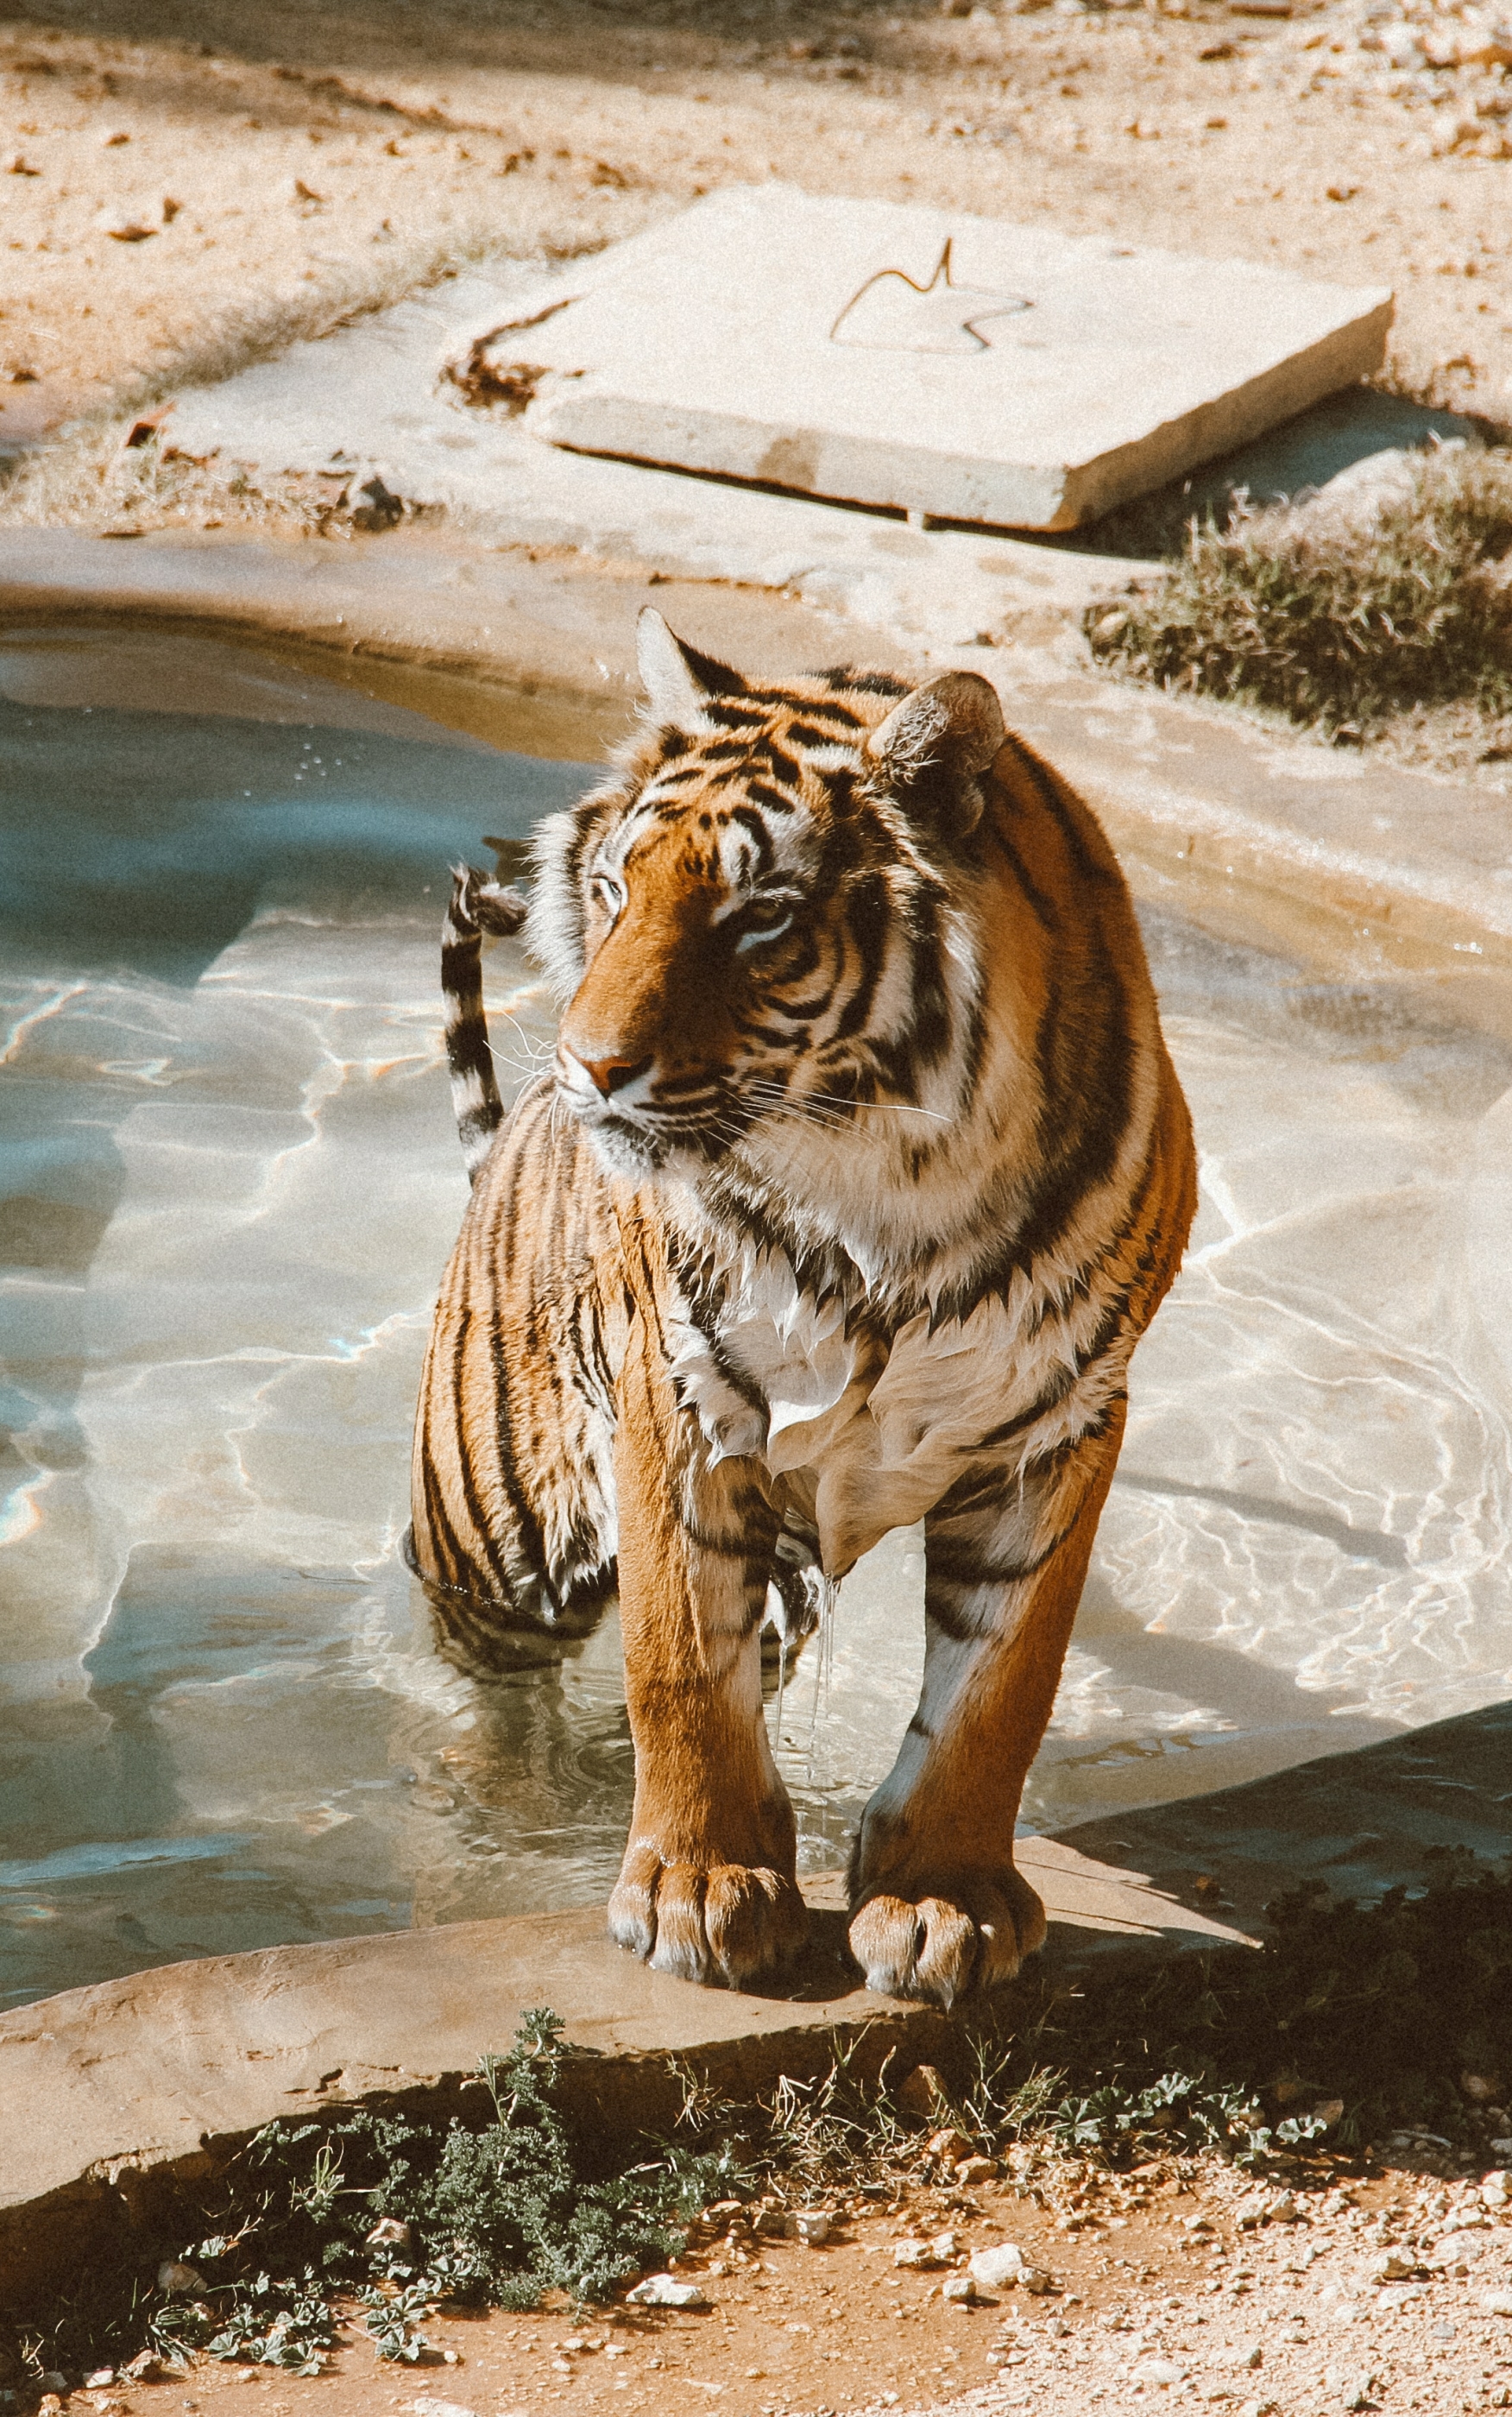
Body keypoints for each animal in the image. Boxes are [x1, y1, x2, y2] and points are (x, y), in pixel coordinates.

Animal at [406, 614, 1193, 2010]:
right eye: (614, 889)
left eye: (759, 918)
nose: (587, 1067)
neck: (890, 1193)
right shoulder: (677, 1403)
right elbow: (677, 1665)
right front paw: (697, 1889)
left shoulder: (1061, 1428)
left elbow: (1000, 1688)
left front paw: (941, 1899)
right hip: (493, 1543)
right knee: (479, 1692)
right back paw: (498, 1809)